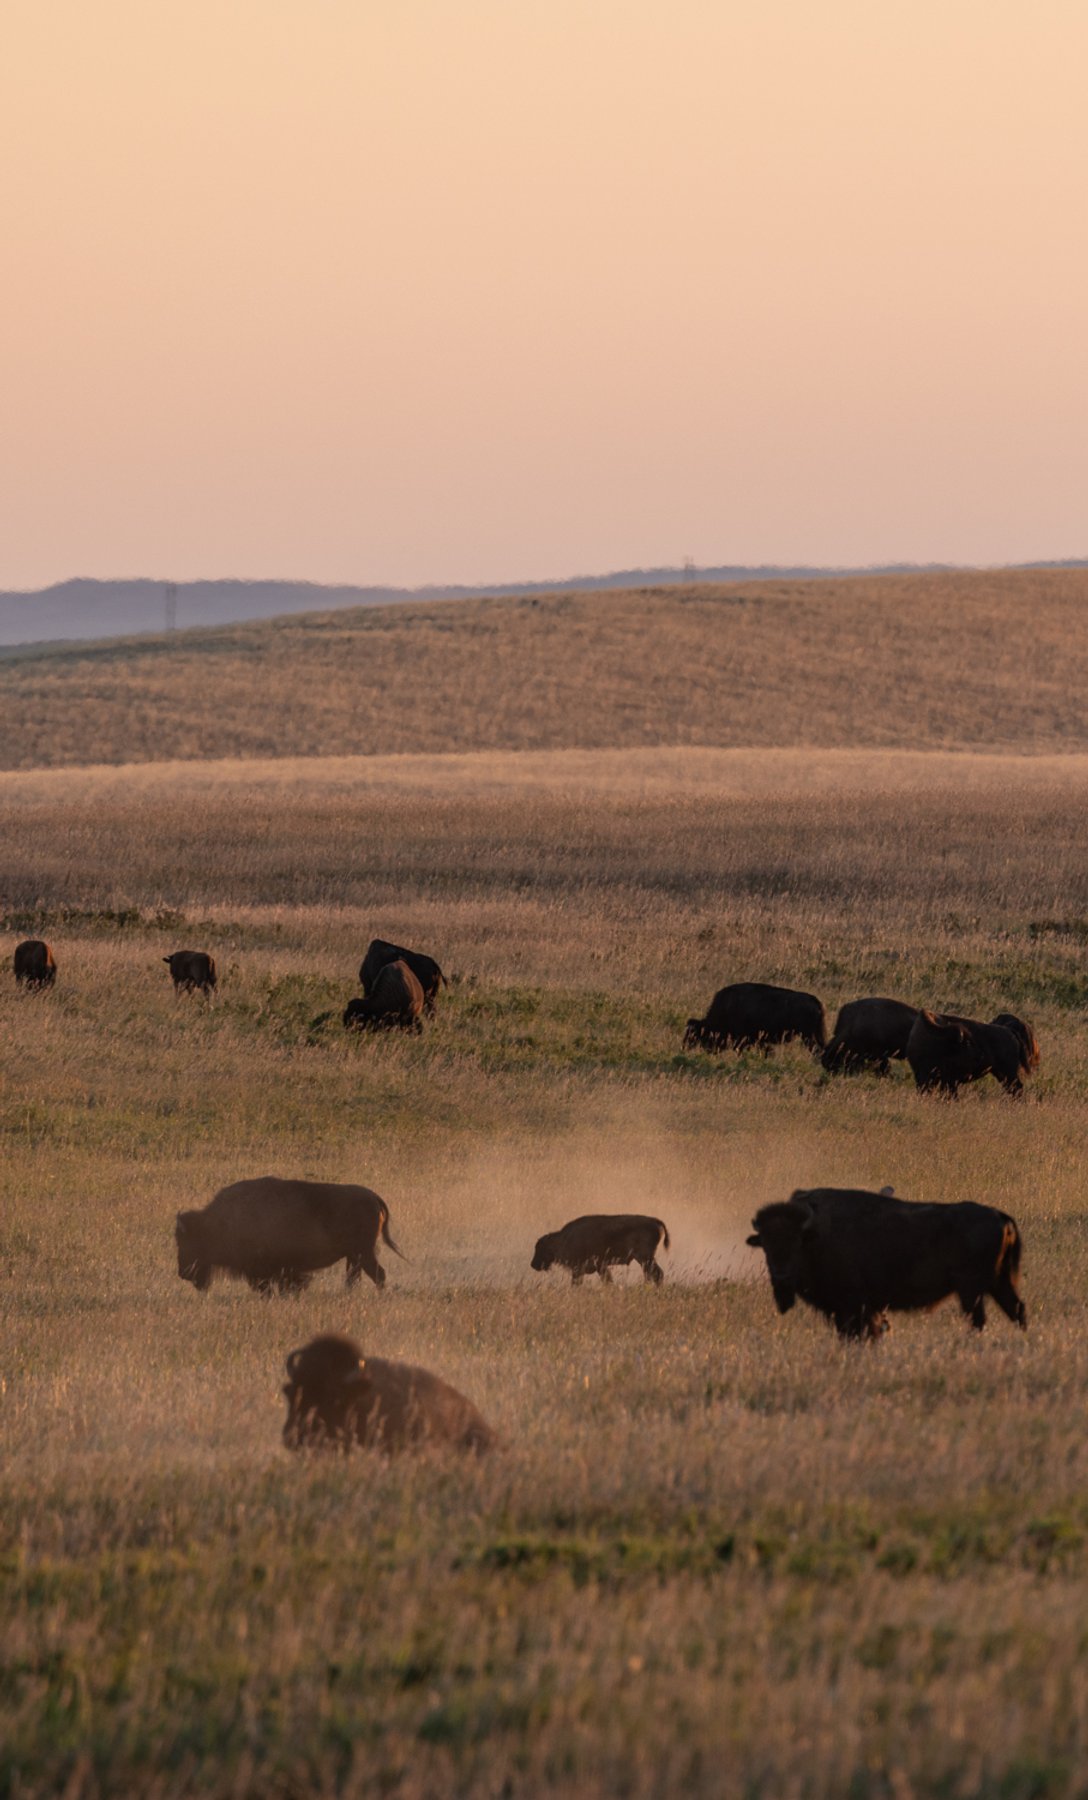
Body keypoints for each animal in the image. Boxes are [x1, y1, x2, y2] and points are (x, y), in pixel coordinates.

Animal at [175, 1176, 404, 1294]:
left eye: (187, 1242)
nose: (183, 1273)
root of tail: (373, 1197)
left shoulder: (267, 1270)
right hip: (355, 1255)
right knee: (356, 1277)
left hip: (363, 1253)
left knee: (377, 1274)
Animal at [531, 1214, 670, 1286]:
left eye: (539, 1248)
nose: (533, 1264)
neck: (563, 1239)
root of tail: (655, 1221)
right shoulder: (599, 1267)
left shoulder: (582, 1268)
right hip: (645, 1260)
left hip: (644, 1258)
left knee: (656, 1274)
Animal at [746, 1186, 1026, 1340]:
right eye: (766, 1245)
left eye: (796, 1243)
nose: (781, 1276)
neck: (816, 1234)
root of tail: (1000, 1217)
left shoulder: (852, 1307)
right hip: (997, 1284)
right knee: (1017, 1310)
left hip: (971, 1290)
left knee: (979, 1320)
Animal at [906, 1010, 1037, 1097]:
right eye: (967, 1042)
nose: (980, 1055)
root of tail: (1009, 1031)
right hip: (1001, 1073)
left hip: (1008, 1073)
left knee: (1016, 1088)